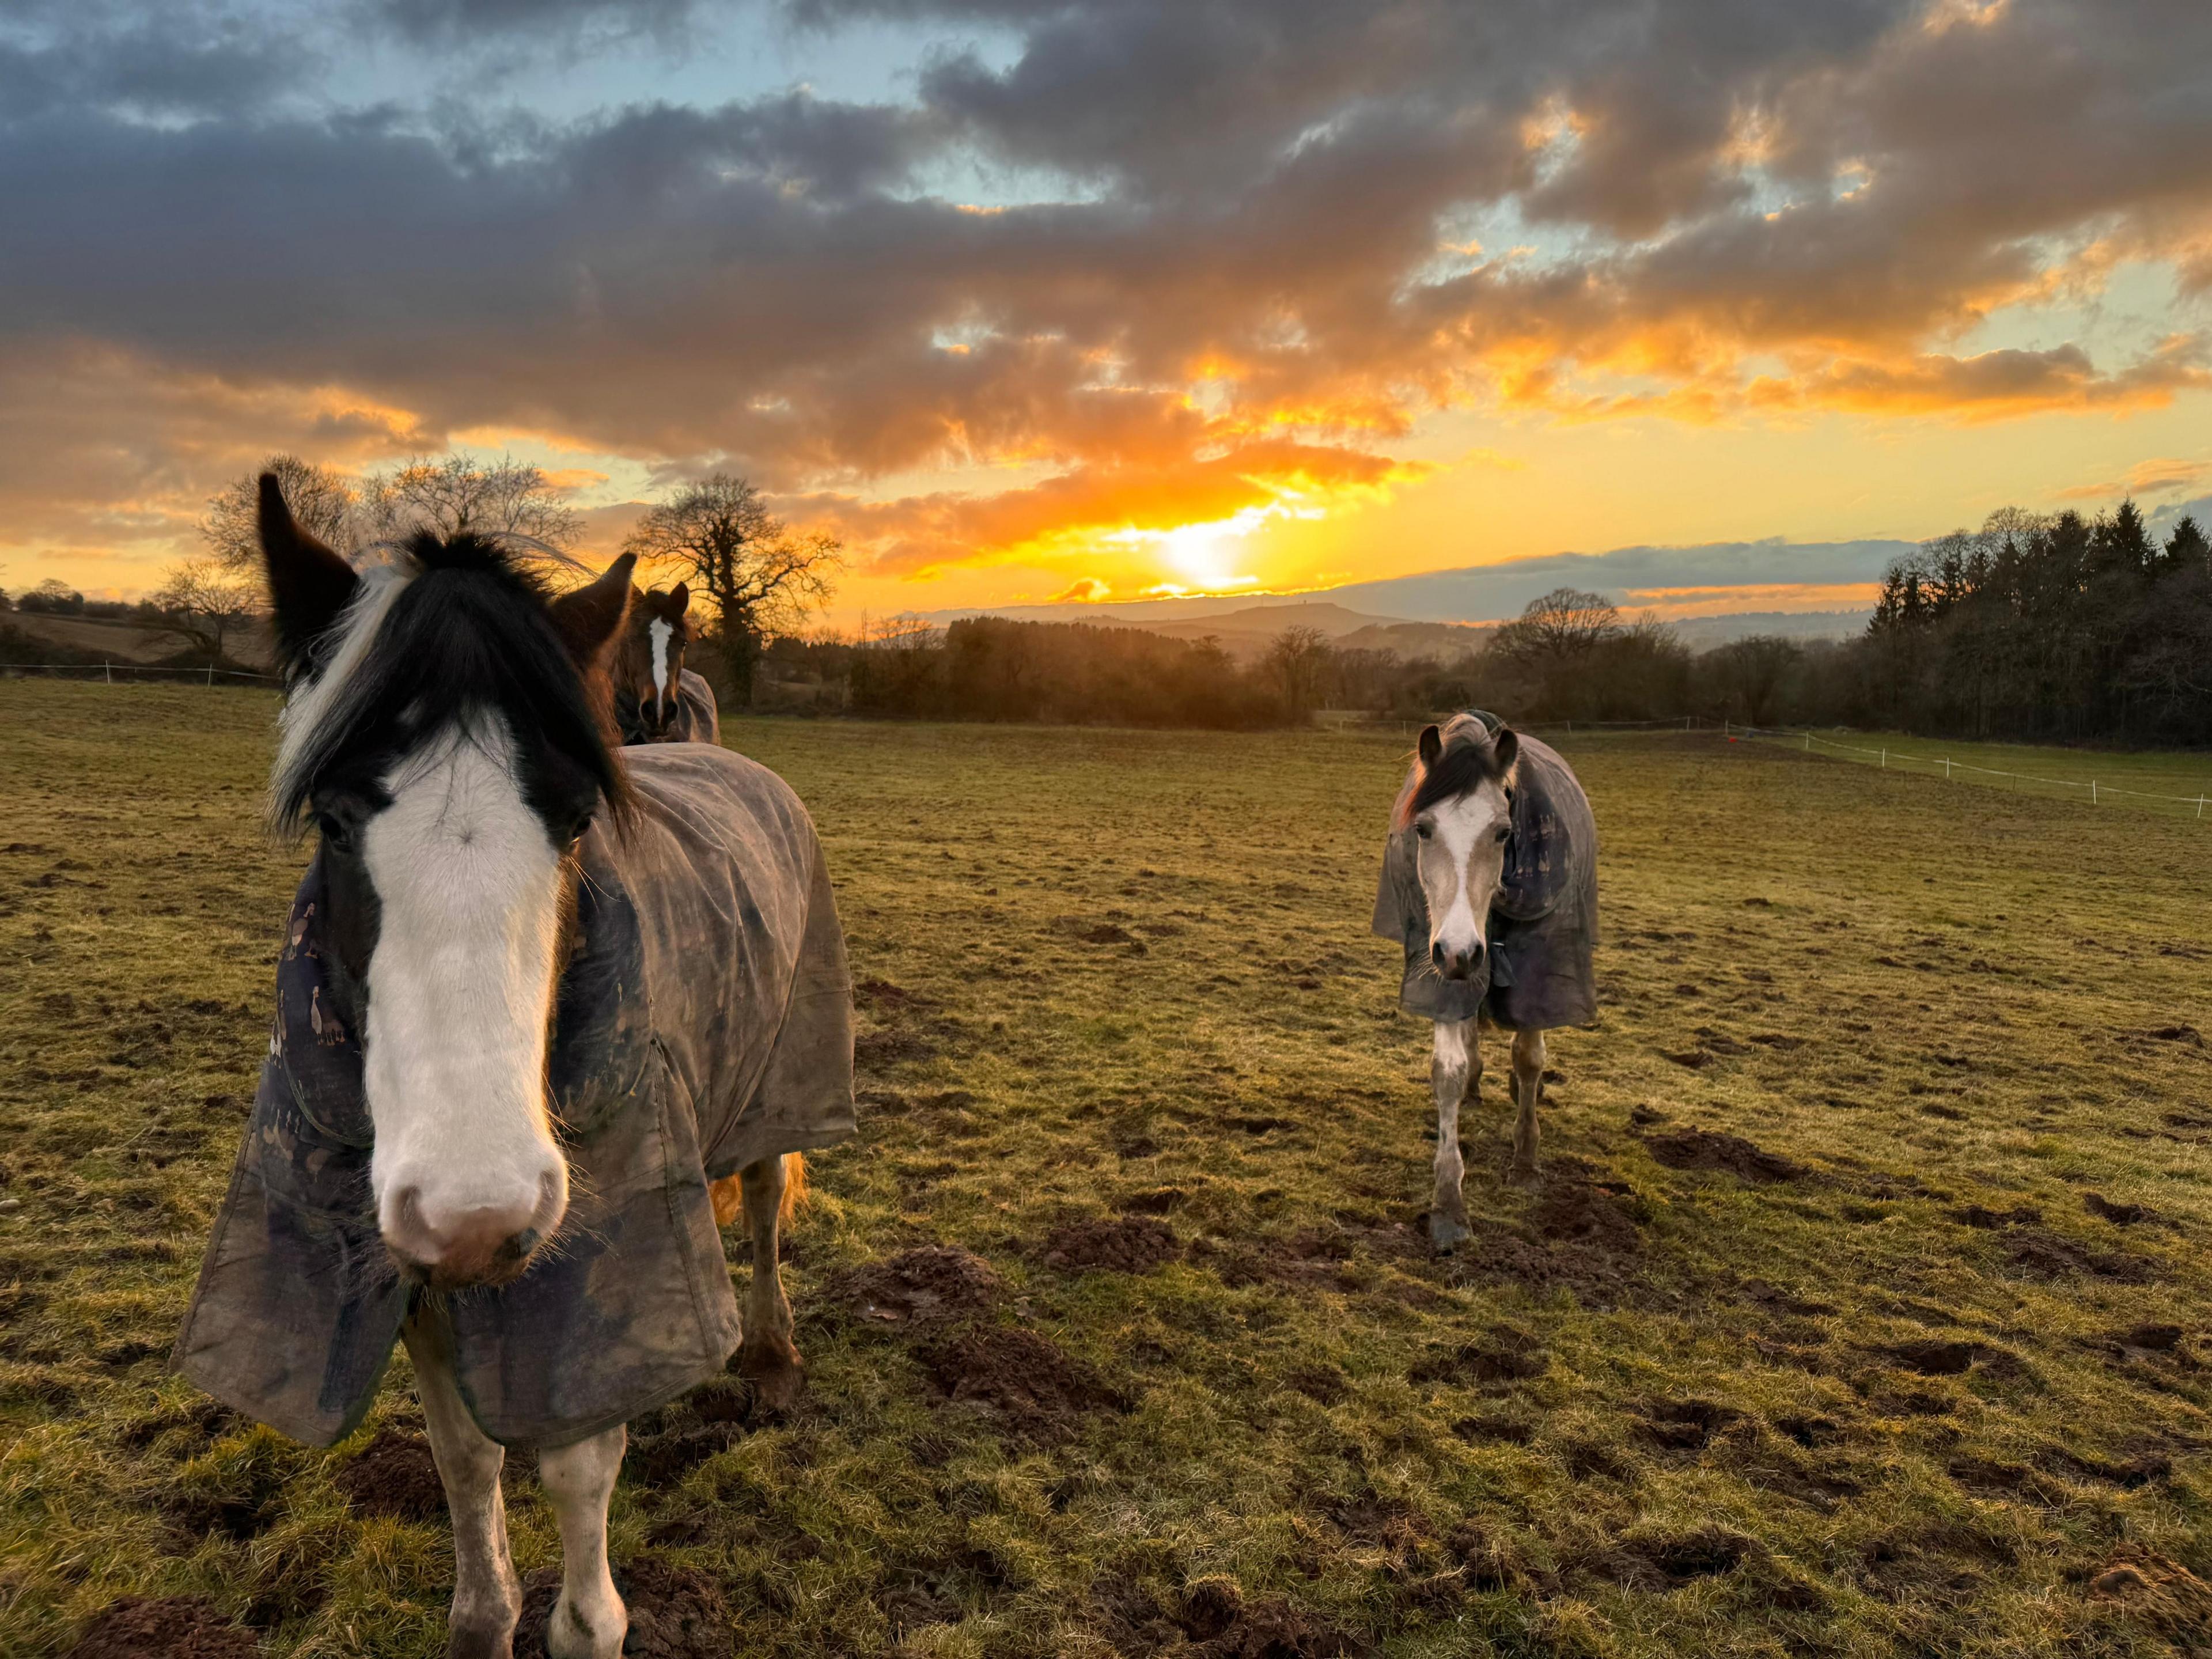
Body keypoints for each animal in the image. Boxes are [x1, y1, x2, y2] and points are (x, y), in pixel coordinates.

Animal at [175, 480, 854, 1659]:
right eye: (336, 822)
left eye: (576, 822)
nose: (479, 1210)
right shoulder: (415, 1280)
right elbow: (467, 1461)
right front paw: (481, 1616)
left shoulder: (581, 1284)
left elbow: (577, 1477)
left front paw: (583, 1621)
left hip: (779, 1087)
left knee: (766, 1201)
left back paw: (770, 1360)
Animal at [1371, 712, 1601, 1247]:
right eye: (1423, 829)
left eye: (1501, 833)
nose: (1460, 950)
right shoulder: (1437, 964)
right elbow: (1448, 1072)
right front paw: (1449, 1204)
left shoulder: (1538, 967)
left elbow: (1529, 1056)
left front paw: (1526, 1160)